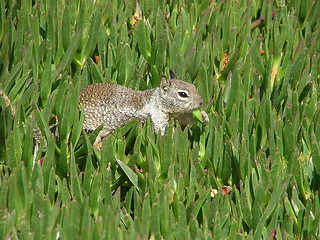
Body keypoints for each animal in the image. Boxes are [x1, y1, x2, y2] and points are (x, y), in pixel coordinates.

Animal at [79, 70, 209, 144]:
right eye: (183, 94)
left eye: (194, 86)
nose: (201, 102)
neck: (156, 101)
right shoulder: (157, 118)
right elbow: (162, 133)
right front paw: (174, 136)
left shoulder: (176, 115)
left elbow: (184, 119)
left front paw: (204, 116)